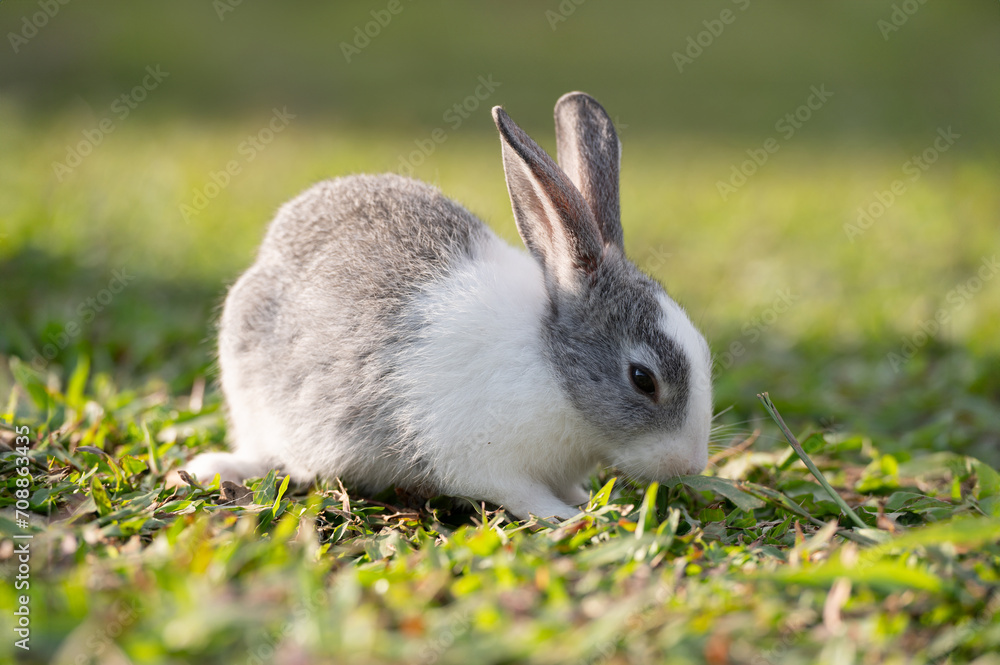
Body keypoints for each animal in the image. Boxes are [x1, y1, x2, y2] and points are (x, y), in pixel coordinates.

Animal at [185, 91, 713, 520]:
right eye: (643, 379)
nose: (689, 464)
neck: (553, 368)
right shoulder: (483, 460)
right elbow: (518, 493)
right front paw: (569, 517)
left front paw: (583, 501)